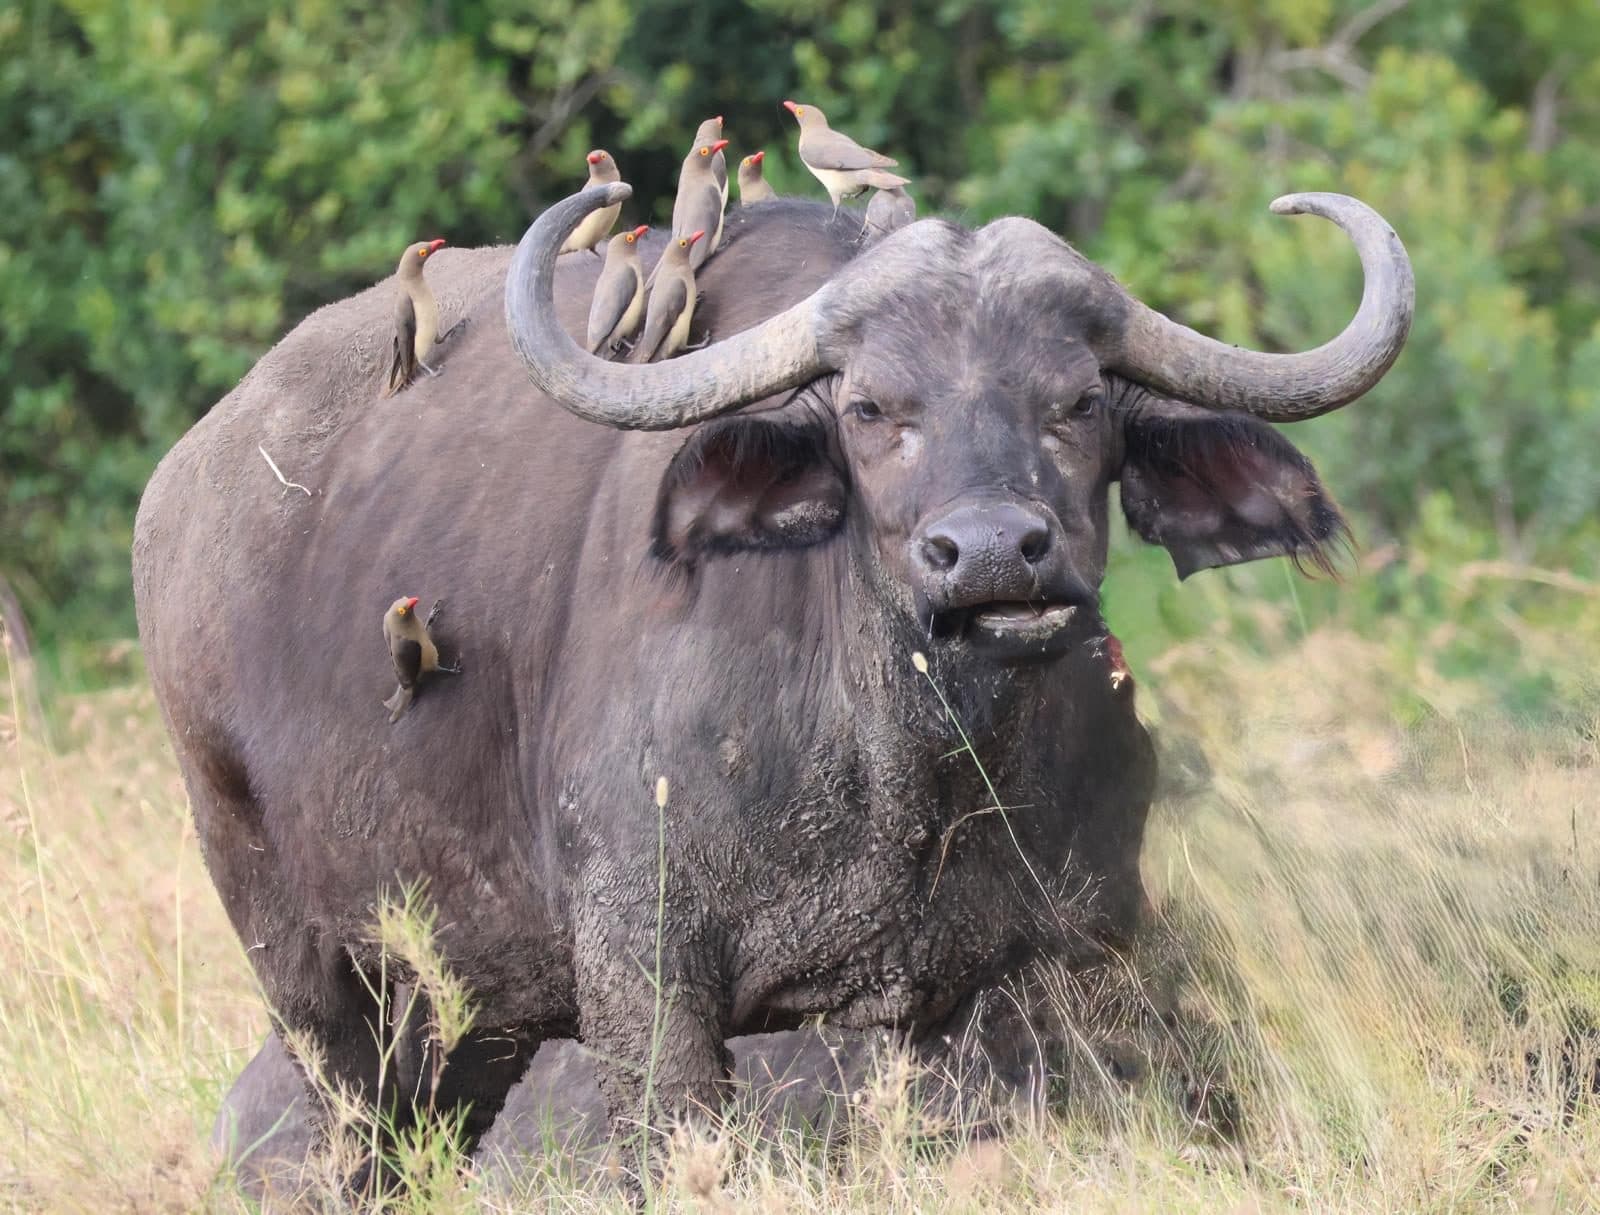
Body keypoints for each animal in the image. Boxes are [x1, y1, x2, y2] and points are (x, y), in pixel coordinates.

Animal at [133, 185, 1412, 1158]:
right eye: (868, 407)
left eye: (1080, 400)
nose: (993, 552)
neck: (916, 772)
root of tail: (181, 485)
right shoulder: (647, 982)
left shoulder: (1062, 959)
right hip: (309, 974)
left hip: (474, 1016)